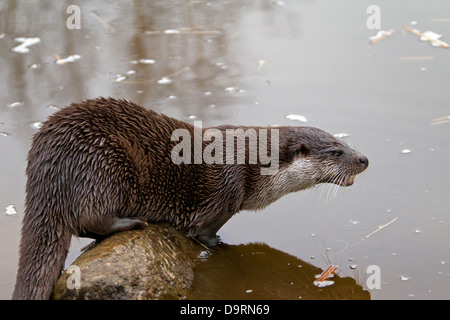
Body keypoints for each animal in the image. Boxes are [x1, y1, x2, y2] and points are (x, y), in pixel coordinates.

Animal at [12, 97, 368, 300]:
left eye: (344, 143)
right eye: (336, 152)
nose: (364, 159)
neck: (255, 165)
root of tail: (45, 158)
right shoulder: (224, 194)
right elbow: (204, 232)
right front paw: (221, 247)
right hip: (104, 161)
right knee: (89, 218)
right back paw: (132, 222)